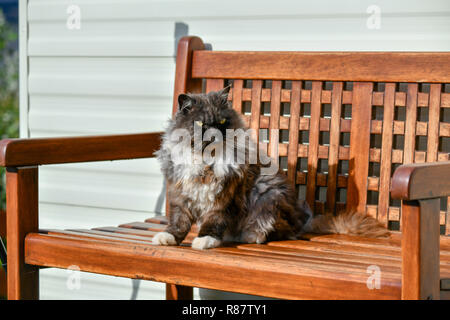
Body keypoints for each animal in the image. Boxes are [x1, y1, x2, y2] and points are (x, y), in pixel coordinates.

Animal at [153, 87, 388, 250]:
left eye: (221, 122)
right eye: (201, 124)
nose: (214, 134)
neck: (206, 162)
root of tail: (302, 221)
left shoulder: (225, 198)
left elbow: (214, 221)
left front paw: (205, 240)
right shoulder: (181, 195)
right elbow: (179, 222)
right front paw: (168, 238)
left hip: (266, 193)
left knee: (277, 231)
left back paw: (250, 236)